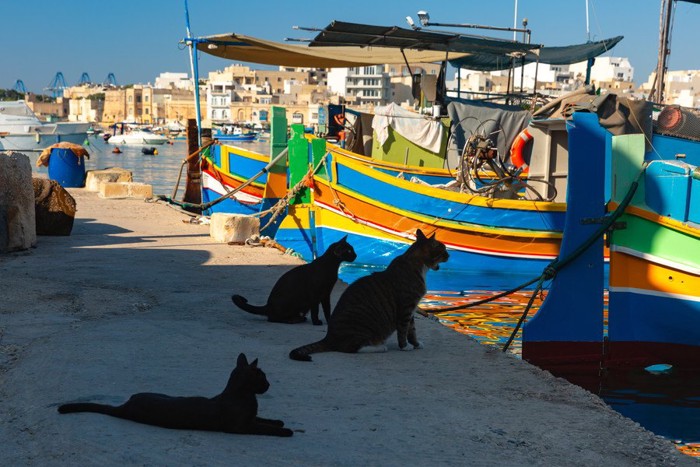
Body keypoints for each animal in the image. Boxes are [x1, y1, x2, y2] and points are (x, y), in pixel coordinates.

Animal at [56, 354, 292, 438]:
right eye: (262, 378)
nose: (268, 385)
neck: (245, 396)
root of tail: (126, 404)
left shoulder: (251, 417)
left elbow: (265, 419)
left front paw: (279, 421)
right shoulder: (241, 426)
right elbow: (263, 427)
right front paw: (285, 430)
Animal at [288, 229, 448, 362]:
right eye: (443, 249)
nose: (449, 254)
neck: (419, 266)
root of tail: (329, 337)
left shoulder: (412, 309)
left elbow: (412, 330)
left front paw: (415, 343)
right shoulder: (406, 307)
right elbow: (403, 329)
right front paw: (404, 346)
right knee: (349, 348)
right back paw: (379, 347)